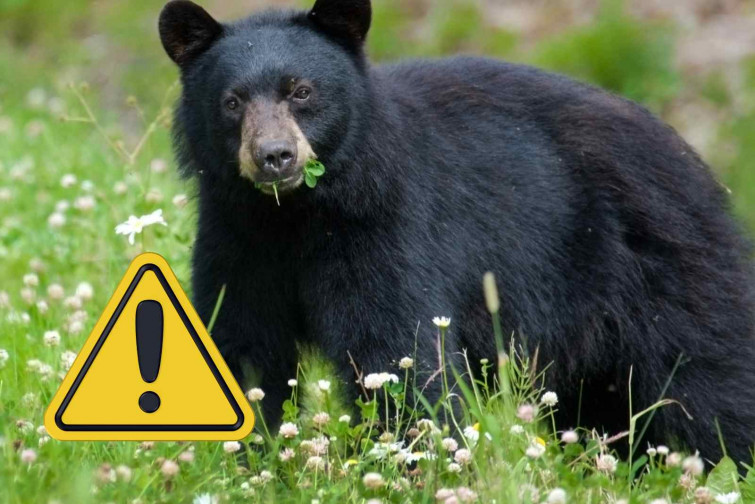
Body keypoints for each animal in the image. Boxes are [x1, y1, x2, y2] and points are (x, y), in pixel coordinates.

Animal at [158, 0, 755, 463]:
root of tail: (696, 166)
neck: (295, 216)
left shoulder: (387, 228)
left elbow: (396, 351)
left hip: (664, 269)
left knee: (709, 382)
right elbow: (243, 345)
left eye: (301, 91)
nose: (275, 157)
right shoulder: (236, 238)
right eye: (232, 101)